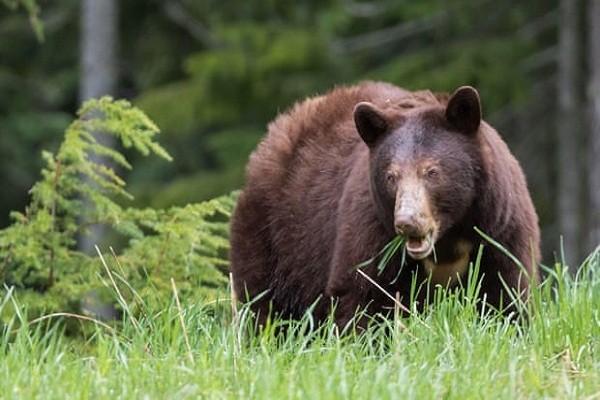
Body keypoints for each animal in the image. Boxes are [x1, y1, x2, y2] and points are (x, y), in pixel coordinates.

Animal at [229, 81, 540, 328]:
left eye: (432, 172)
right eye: (391, 176)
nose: (407, 221)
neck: (448, 238)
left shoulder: (500, 228)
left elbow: (505, 293)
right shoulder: (372, 227)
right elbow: (363, 292)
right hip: (275, 233)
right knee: (265, 300)